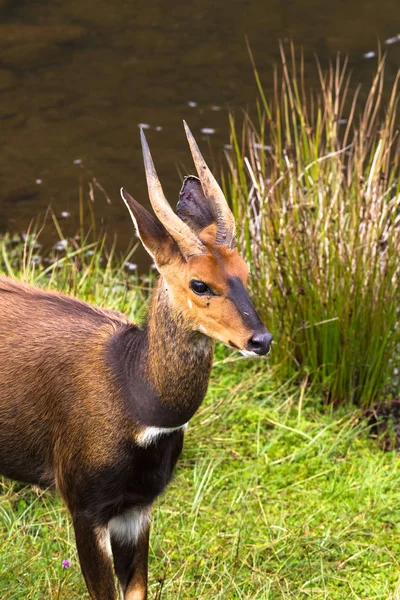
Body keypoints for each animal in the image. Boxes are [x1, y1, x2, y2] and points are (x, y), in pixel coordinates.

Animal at [0, 123, 272, 600]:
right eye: (199, 283)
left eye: (245, 271)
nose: (261, 340)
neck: (133, 399)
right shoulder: (84, 503)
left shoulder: (138, 507)